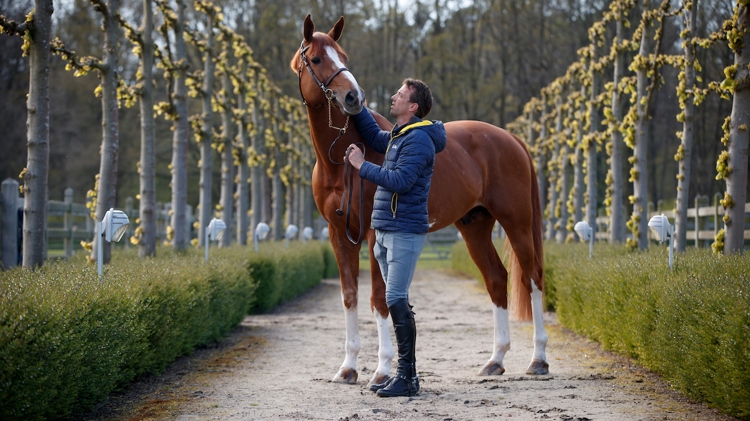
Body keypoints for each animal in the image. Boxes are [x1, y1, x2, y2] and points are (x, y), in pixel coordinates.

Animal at [290, 14, 548, 386]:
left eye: (344, 56)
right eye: (316, 58)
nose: (354, 97)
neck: (340, 163)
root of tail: (511, 138)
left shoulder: (374, 234)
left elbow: (379, 299)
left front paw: (382, 371)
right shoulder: (339, 235)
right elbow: (350, 297)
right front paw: (348, 368)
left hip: (518, 223)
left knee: (533, 278)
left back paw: (538, 359)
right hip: (475, 227)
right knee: (497, 279)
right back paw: (495, 360)